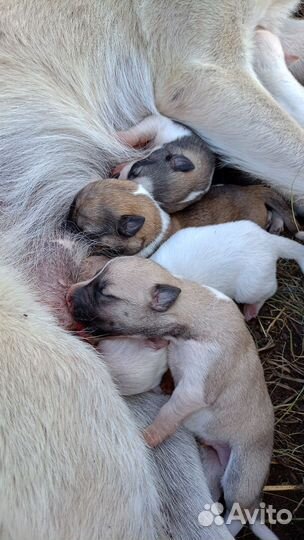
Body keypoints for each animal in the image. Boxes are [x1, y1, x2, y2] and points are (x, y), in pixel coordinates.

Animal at [66, 256, 276, 540]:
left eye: (106, 293)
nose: (67, 293)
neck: (190, 312)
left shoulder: (193, 389)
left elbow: (168, 412)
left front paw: (149, 437)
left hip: (241, 473)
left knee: (239, 512)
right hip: (212, 466)